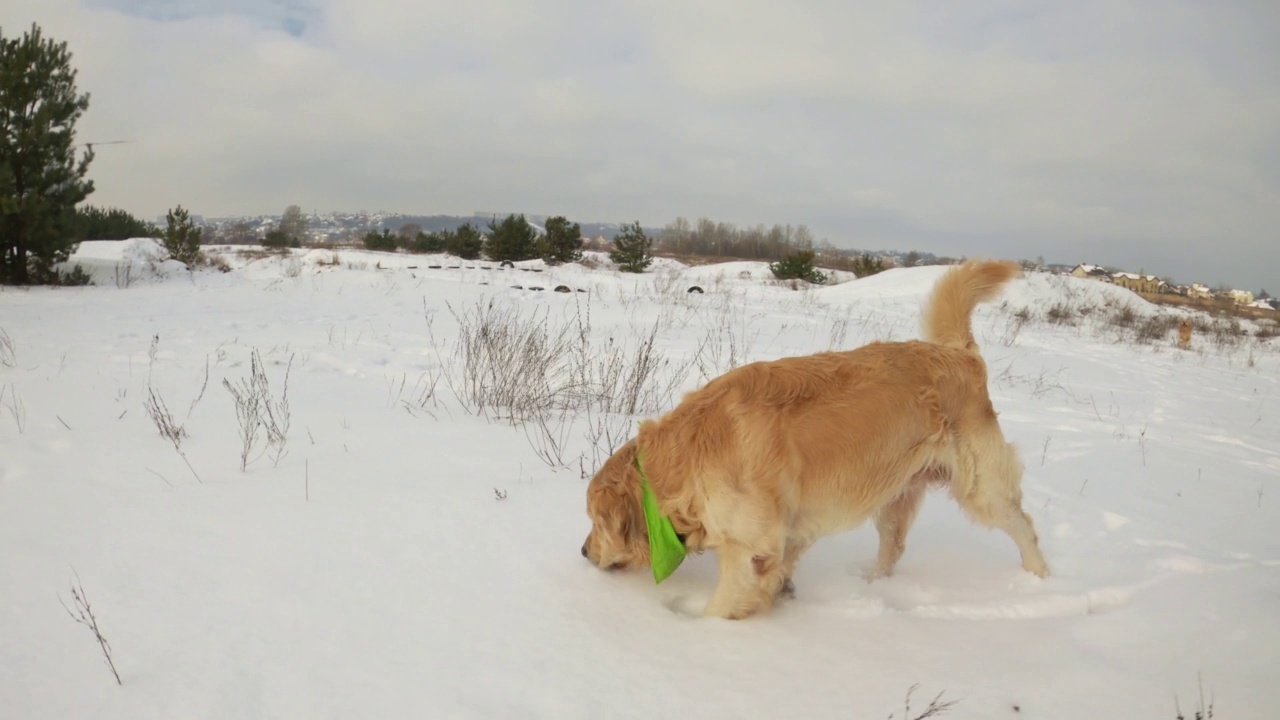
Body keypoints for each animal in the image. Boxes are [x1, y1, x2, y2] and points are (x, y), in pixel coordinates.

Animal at [581, 257, 1049, 617]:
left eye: (595, 521)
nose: (584, 552)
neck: (688, 457)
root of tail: (958, 353)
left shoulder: (748, 549)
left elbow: (720, 608)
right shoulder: (784, 537)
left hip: (981, 485)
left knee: (1024, 525)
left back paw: (1039, 578)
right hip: (896, 492)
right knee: (893, 547)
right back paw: (871, 587)